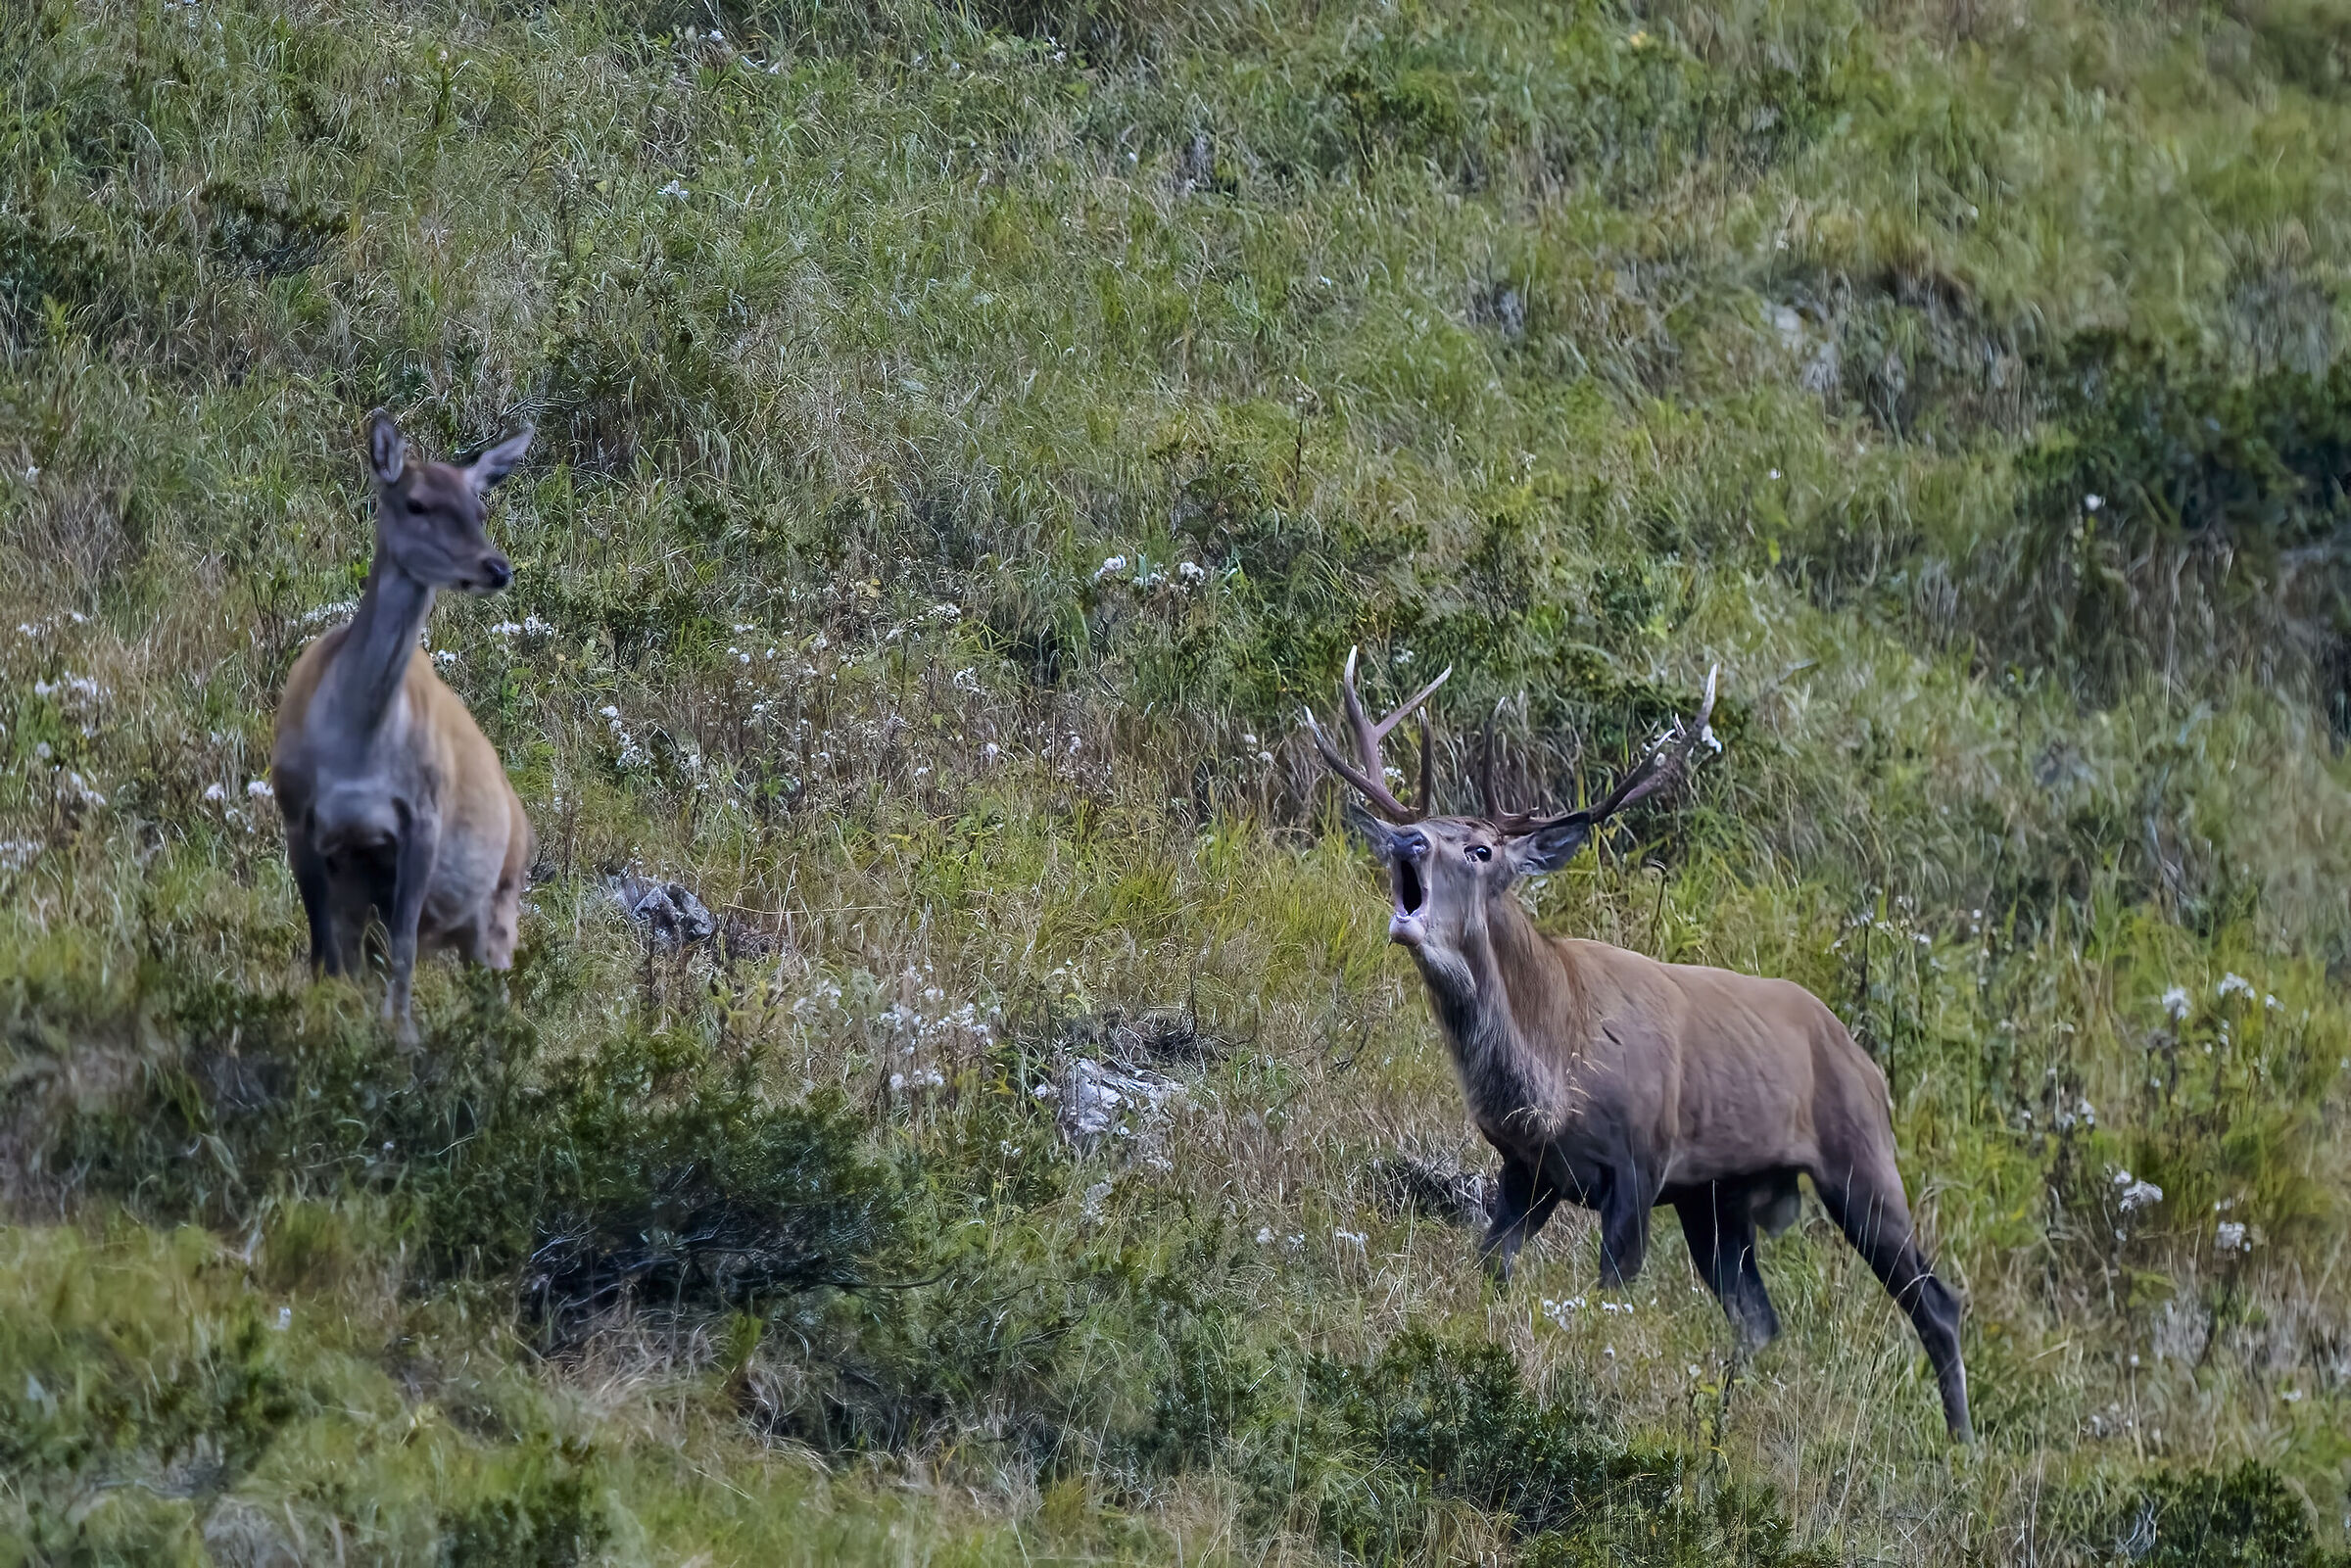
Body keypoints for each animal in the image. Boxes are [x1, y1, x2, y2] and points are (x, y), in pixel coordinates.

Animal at [270, 409, 536, 1044]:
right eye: (416, 503)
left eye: (480, 509)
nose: (497, 568)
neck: (355, 749)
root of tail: (527, 828)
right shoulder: (297, 815)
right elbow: (322, 951)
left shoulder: (423, 815)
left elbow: (406, 948)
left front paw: (402, 1036)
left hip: (500, 905)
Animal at [1305, 651, 1972, 1441]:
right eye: (1425, 830)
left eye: (1479, 848)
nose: (1404, 841)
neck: (1554, 1071)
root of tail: (1870, 1063)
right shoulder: (1528, 1169)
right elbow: (1490, 1269)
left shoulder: (1639, 1164)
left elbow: (1608, 1306)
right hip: (1718, 1198)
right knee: (1758, 1318)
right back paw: (1723, 1413)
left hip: (1861, 1158)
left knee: (1937, 1303)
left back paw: (1964, 1447)